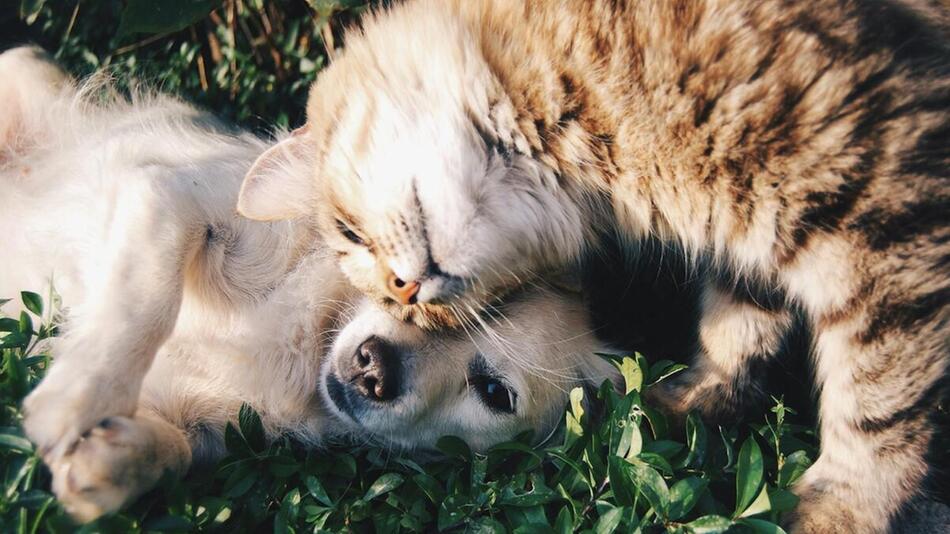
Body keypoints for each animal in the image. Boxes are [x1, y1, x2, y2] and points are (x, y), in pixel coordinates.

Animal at [236, 2, 950, 532]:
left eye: (351, 234)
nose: (406, 292)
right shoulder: (755, 233)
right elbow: (738, 327)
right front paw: (689, 403)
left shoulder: (881, 203)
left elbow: (877, 402)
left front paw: (844, 508)